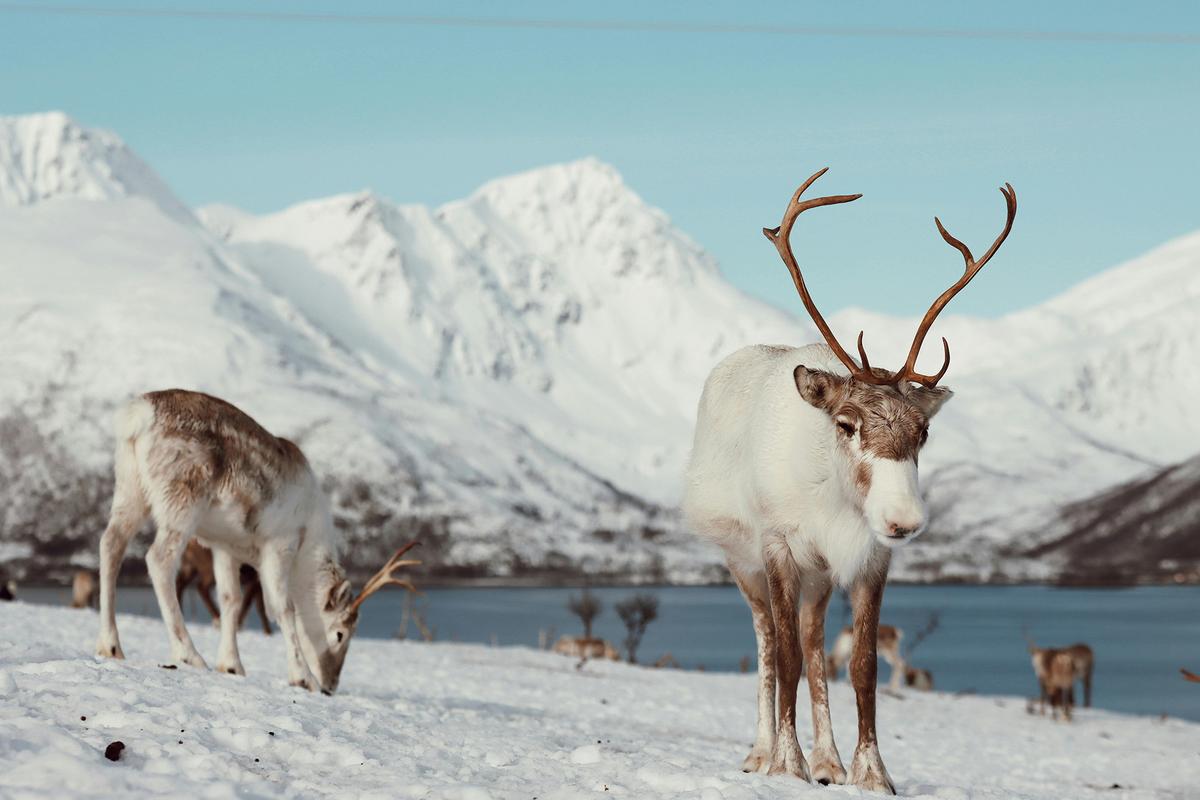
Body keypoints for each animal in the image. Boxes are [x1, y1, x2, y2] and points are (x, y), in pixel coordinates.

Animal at [94, 389, 420, 694]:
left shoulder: (225, 546)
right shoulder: (279, 544)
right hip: (182, 497)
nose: (331, 685)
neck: (308, 544)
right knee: (158, 559)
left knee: (111, 543)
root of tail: (138, 415)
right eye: (341, 633)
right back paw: (189, 654)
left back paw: (110, 645)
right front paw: (303, 678)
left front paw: (232, 665)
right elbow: (284, 608)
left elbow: (231, 600)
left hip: (129, 487)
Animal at [683, 168, 1015, 793]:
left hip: (819, 578)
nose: (904, 520)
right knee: (770, 642)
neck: (832, 499)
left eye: (923, 431)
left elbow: (861, 666)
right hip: (741, 561)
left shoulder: (868, 560)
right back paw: (761, 751)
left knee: (815, 644)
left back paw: (828, 761)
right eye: (847, 423)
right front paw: (786, 764)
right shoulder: (779, 547)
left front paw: (870, 773)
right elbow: (785, 657)